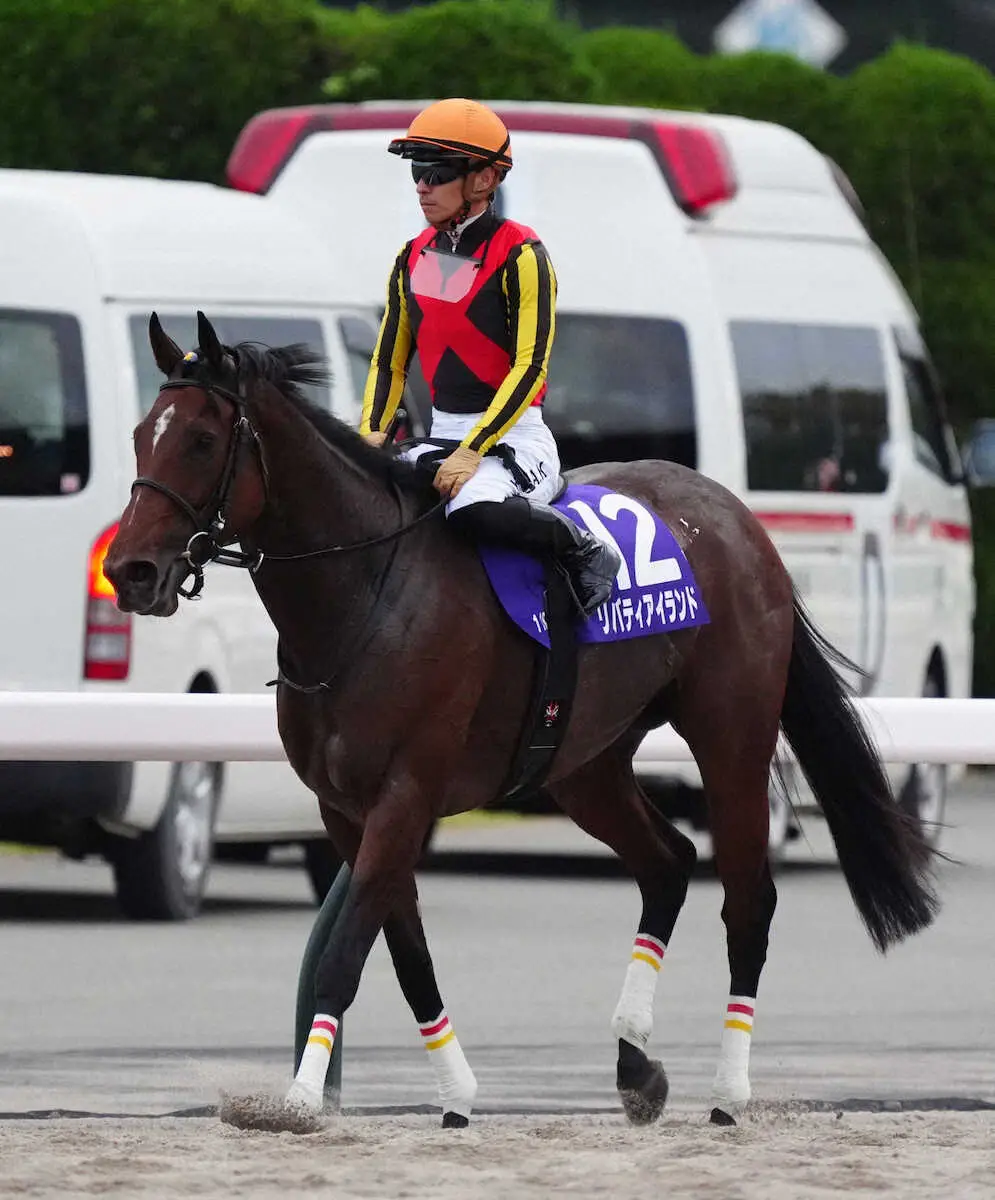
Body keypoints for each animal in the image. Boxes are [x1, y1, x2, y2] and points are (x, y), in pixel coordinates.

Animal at [105, 312, 936, 1132]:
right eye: (143, 434)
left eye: (201, 439)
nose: (129, 571)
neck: (365, 594)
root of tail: (739, 520)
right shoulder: (344, 808)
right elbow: (404, 952)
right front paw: (454, 1094)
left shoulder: (405, 794)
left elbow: (345, 951)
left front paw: (301, 1100)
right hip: (584, 762)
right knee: (667, 861)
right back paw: (634, 1065)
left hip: (731, 735)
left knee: (747, 901)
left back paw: (729, 1092)